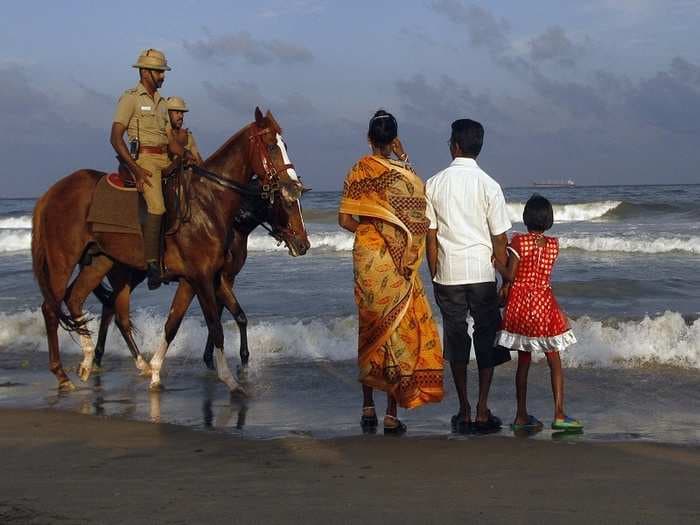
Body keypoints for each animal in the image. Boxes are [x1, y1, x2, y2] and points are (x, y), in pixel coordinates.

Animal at [30, 108, 308, 390]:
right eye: (272, 145)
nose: (294, 186)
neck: (209, 204)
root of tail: (50, 193)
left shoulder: (203, 279)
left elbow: (177, 323)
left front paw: (155, 371)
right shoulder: (202, 278)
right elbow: (216, 325)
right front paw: (229, 378)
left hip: (102, 262)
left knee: (82, 301)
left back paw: (96, 361)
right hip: (64, 262)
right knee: (54, 309)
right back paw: (63, 374)